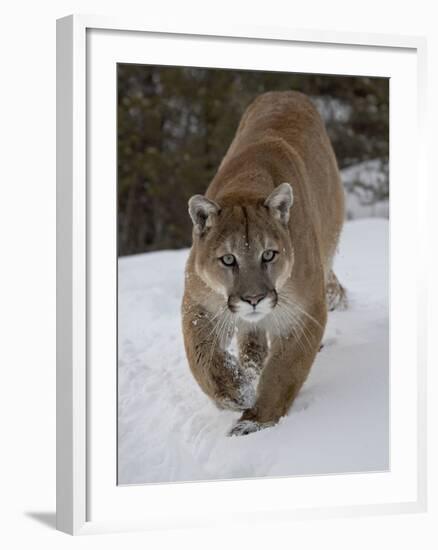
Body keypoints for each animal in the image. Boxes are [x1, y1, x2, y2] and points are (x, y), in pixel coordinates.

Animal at [181, 90, 346, 438]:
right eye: (228, 259)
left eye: (268, 254)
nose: (253, 299)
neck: (246, 185)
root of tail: (287, 93)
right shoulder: (199, 304)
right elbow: (203, 360)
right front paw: (237, 392)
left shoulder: (304, 310)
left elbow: (283, 371)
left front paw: (254, 421)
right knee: (252, 341)